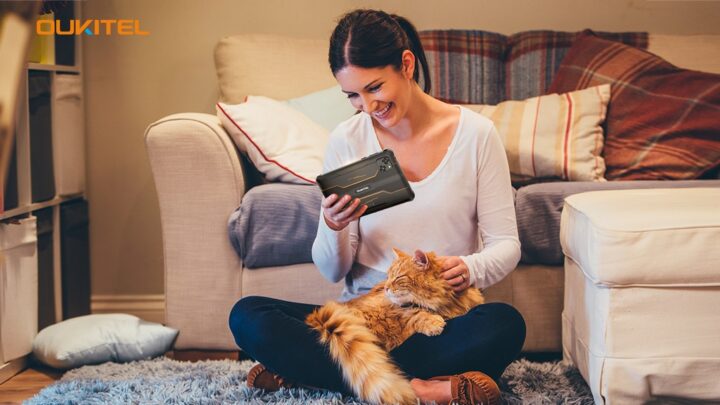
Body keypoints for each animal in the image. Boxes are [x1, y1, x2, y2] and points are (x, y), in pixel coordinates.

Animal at [304, 248, 484, 402]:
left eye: (398, 278)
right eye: (388, 277)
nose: (385, 288)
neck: (446, 302)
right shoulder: (396, 311)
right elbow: (416, 315)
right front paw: (434, 323)